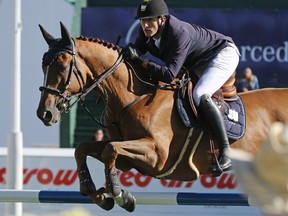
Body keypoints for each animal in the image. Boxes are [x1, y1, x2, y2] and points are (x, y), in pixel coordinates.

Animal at [37, 22, 288, 212]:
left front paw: (118, 193)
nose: (45, 114)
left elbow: (110, 150)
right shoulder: (128, 159)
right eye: (43, 66)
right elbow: (84, 149)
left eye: (62, 67)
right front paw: (97, 193)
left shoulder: (157, 156)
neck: (132, 97)